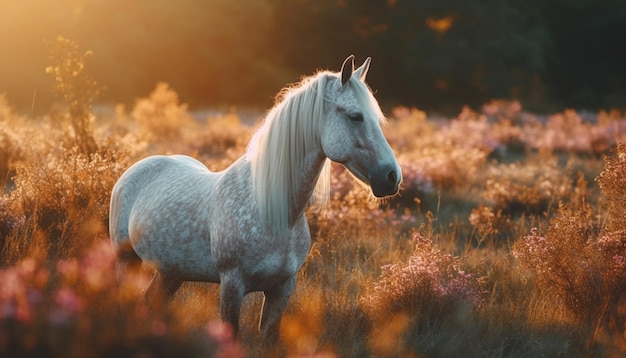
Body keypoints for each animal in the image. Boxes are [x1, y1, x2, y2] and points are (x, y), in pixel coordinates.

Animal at [107, 56, 400, 342]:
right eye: (355, 116)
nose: (392, 177)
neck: (272, 209)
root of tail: (138, 167)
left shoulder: (282, 288)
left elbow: (268, 336)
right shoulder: (232, 286)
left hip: (171, 271)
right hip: (127, 259)